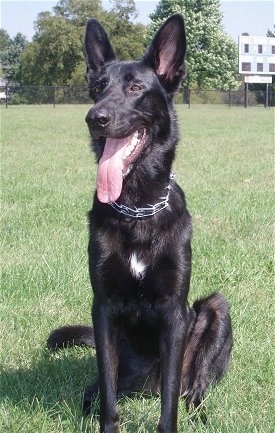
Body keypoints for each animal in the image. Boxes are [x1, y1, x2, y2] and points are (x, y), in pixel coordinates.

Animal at [47, 15, 233, 432]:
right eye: (97, 89)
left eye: (135, 88)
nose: (95, 118)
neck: (137, 208)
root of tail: (144, 385)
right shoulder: (103, 310)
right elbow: (109, 400)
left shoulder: (173, 312)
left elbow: (169, 403)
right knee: (98, 392)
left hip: (216, 310)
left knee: (191, 386)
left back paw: (199, 407)